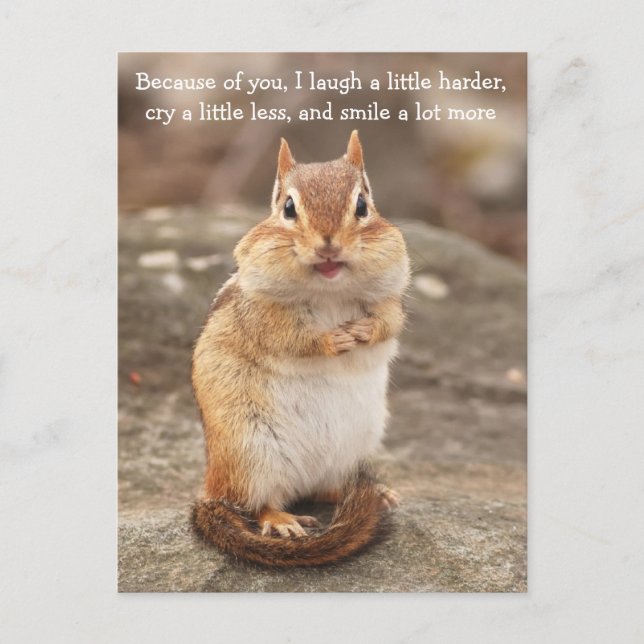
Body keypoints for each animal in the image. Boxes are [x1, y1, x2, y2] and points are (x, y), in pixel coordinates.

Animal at [191, 130, 410, 567]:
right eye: (288, 208)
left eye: (362, 205)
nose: (328, 246)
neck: (330, 289)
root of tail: (211, 489)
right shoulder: (261, 312)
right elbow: (288, 336)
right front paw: (331, 340)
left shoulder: (391, 295)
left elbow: (390, 321)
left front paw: (363, 331)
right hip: (251, 454)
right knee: (259, 503)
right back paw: (281, 520)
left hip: (351, 450)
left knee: (326, 489)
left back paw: (375, 493)